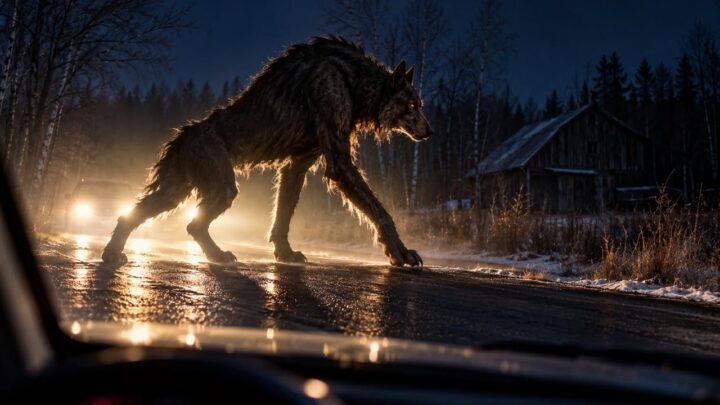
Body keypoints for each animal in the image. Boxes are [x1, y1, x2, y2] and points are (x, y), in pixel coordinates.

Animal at [102, 36, 433, 267]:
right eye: (412, 105)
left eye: (420, 105)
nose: (430, 131)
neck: (352, 79)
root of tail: (181, 137)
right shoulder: (338, 162)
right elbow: (381, 212)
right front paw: (400, 252)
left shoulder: (297, 164)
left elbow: (282, 215)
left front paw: (285, 253)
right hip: (221, 187)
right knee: (193, 224)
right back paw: (218, 256)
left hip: (177, 190)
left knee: (132, 215)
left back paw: (112, 253)